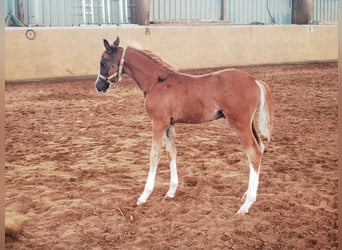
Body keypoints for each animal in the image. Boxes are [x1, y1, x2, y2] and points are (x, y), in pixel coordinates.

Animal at [95, 36, 274, 213]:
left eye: (103, 62)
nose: (98, 86)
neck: (156, 82)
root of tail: (254, 80)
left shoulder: (158, 123)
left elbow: (154, 155)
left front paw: (144, 196)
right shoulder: (169, 124)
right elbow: (171, 152)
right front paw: (171, 190)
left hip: (240, 123)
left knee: (254, 153)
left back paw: (247, 204)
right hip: (249, 123)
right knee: (260, 148)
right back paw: (247, 194)